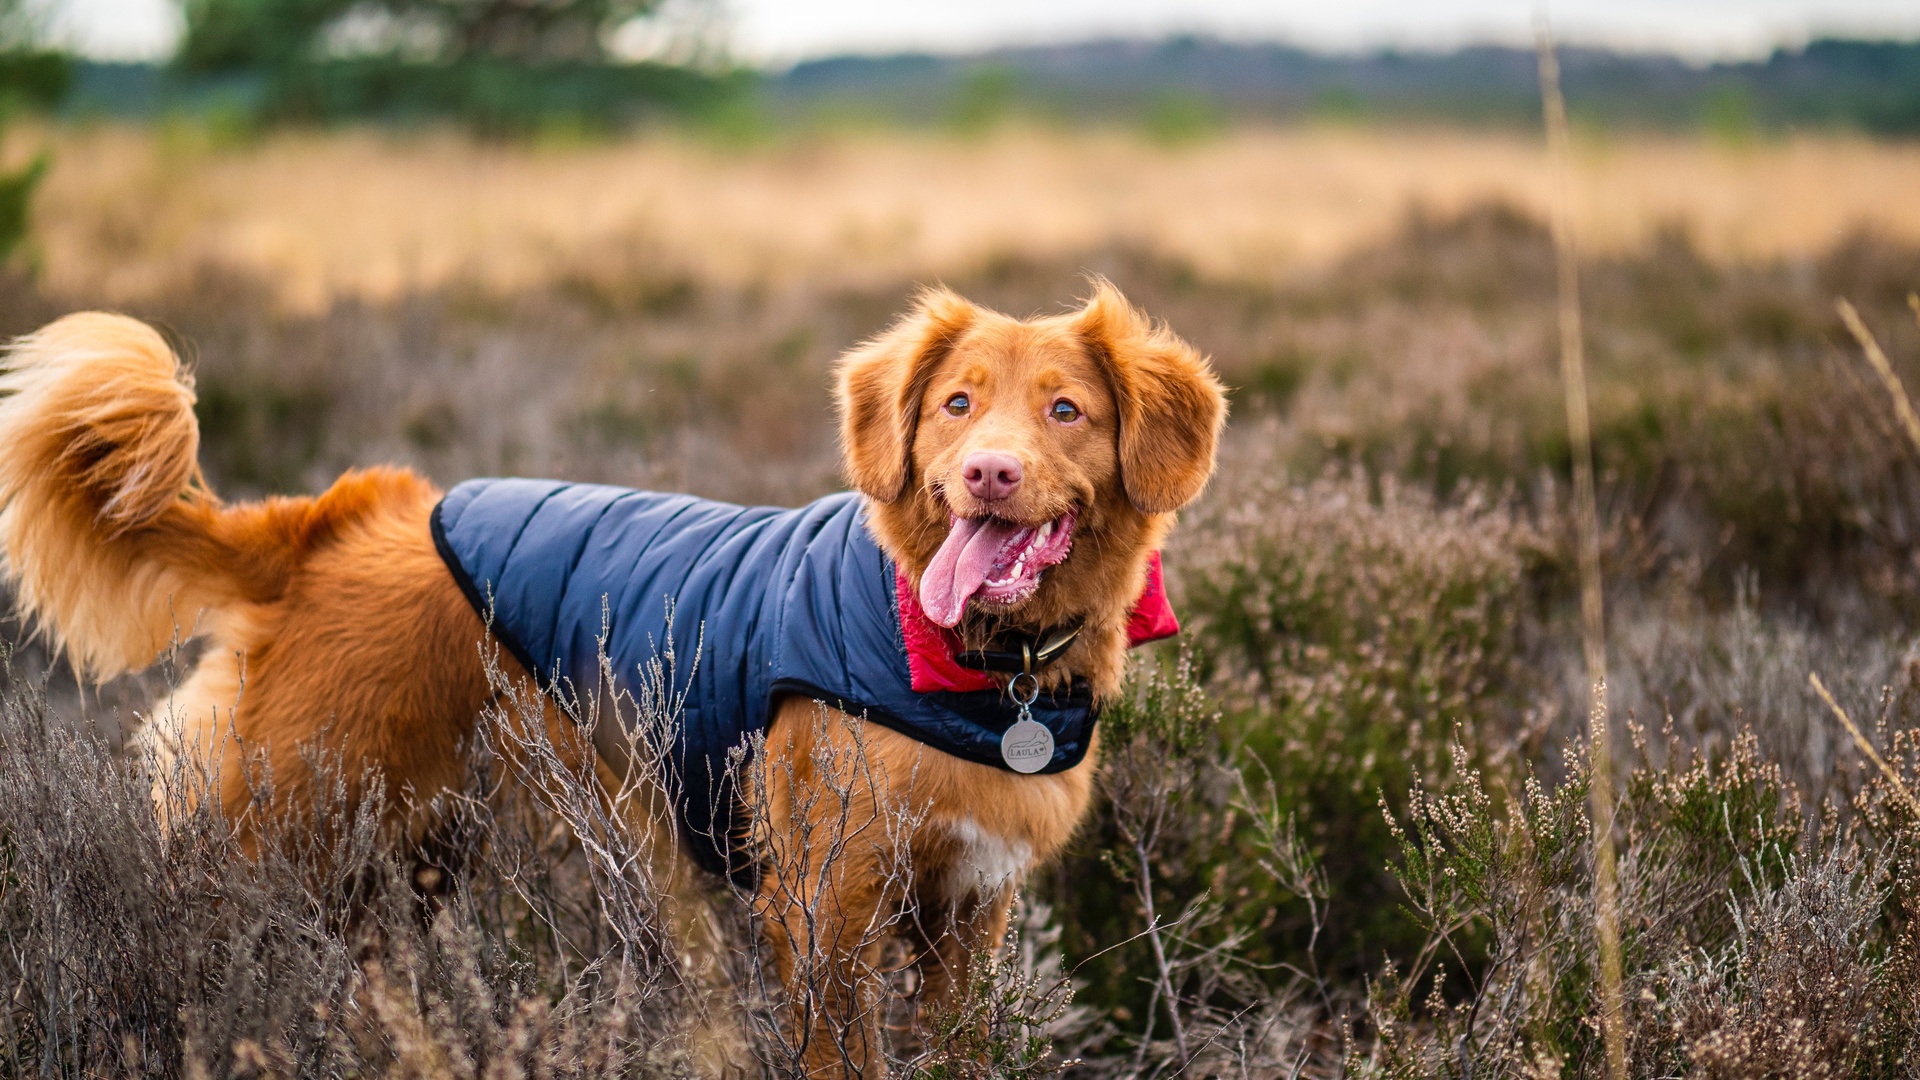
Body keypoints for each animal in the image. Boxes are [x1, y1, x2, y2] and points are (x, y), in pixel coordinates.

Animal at [0, 282, 1228, 1068]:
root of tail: (332, 522)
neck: (968, 663)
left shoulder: (970, 914)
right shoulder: (825, 909)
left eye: (1066, 409)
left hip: (414, 852)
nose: (987, 473)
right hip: (288, 827)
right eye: (956, 404)